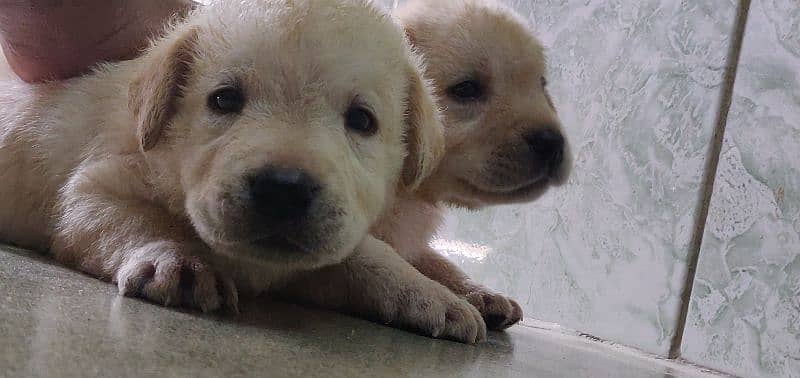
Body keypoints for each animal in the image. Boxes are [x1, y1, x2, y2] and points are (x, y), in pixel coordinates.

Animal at [0, 0, 490, 342]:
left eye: (362, 120)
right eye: (224, 99)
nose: (284, 189)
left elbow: (370, 257)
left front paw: (431, 296)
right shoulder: (96, 187)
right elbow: (134, 220)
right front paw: (178, 260)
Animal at [368, 0, 576, 330]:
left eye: (542, 85)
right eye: (466, 89)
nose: (552, 142)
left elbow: (437, 260)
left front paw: (481, 293)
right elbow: (378, 258)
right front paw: (435, 299)